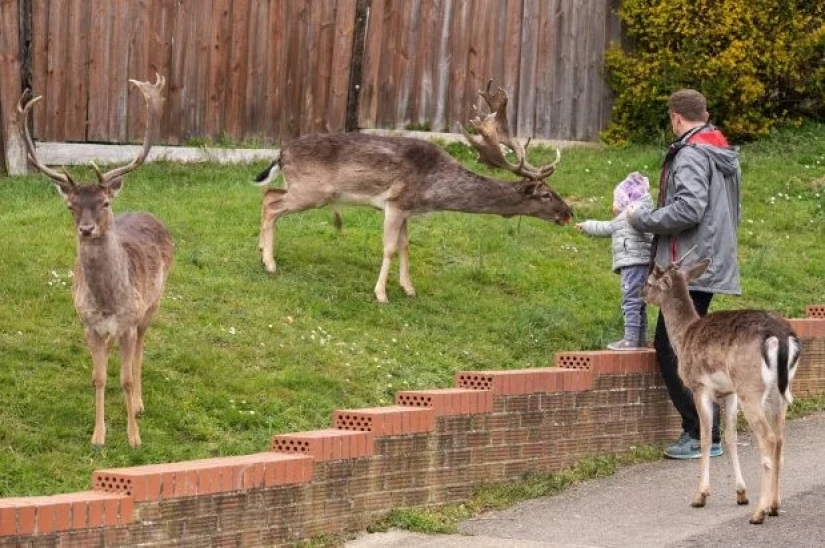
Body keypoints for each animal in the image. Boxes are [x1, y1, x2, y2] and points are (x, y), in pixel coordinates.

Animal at [18, 74, 173, 448]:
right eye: (71, 205)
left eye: (104, 202)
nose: (86, 229)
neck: (107, 302)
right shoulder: (89, 324)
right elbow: (102, 378)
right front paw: (98, 435)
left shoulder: (129, 320)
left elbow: (126, 378)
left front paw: (134, 437)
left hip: (153, 305)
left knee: (141, 349)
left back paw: (140, 404)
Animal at [255, 81, 573, 302]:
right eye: (545, 194)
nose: (569, 213)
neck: (434, 189)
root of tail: (281, 153)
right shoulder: (395, 203)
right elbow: (389, 247)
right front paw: (381, 294)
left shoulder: (407, 210)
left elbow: (406, 246)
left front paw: (408, 288)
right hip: (313, 191)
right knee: (272, 205)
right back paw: (270, 263)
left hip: (300, 187)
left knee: (268, 194)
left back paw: (261, 250)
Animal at [642, 252, 801, 524]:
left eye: (651, 280)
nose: (642, 293)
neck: (683, 337)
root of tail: (780, 337)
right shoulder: (730, 392)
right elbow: (731, 438)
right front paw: (741, 493)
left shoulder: (699, 387)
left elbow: (706, 437)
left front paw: (700, 495)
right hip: (777, 393)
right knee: (780, 439)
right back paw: (774, 505)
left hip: (750, 387)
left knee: (768, 438)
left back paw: (759, 512)